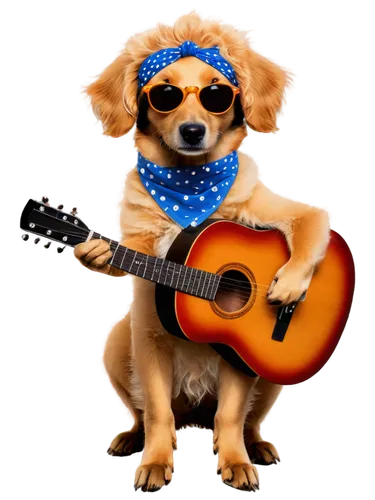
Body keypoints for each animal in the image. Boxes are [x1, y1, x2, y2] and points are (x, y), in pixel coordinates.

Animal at [75, 9, 334, 494]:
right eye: (165, 94)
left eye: (217, 94)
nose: (192, 130)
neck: (190, 187)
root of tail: (195, 419)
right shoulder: (150, 337)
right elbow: (157, 411)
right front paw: (155, 463)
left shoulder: (237, 355)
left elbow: (312, 219)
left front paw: (235, 463)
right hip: (118, 344)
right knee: (146, 414)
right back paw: (129, 438)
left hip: (266, 379)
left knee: (245, 420)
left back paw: (259, 447)